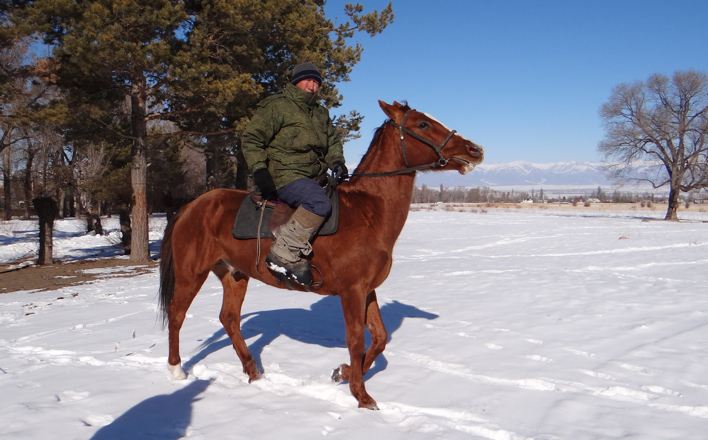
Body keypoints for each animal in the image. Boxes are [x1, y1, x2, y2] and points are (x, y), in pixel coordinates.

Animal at [158, 100, 484, 410]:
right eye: (423, 124)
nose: (475, 150)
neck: (367, 212)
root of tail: (190, 206)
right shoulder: (352, 291)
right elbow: (356, 340)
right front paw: (362, 396)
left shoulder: (367, 290)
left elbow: (379, 338)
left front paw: (343, 373)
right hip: (192, 273)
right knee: (177, 313)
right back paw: (176, 370)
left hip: (234, 275)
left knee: (229, 319)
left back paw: (253, 372)